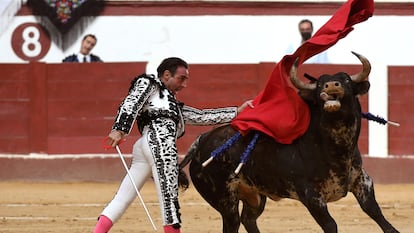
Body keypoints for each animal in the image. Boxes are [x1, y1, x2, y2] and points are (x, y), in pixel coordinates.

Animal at [180, 52, 400, 233]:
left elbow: (377, 214)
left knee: (248, 219)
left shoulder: (362, 181)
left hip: (255, 196)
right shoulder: (311, 196)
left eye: (345, 79)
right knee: (232, 223)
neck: (336, 148)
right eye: (319, 84)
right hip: (225, 200)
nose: (330, 85)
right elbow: (331, 225)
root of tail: (202, 140)